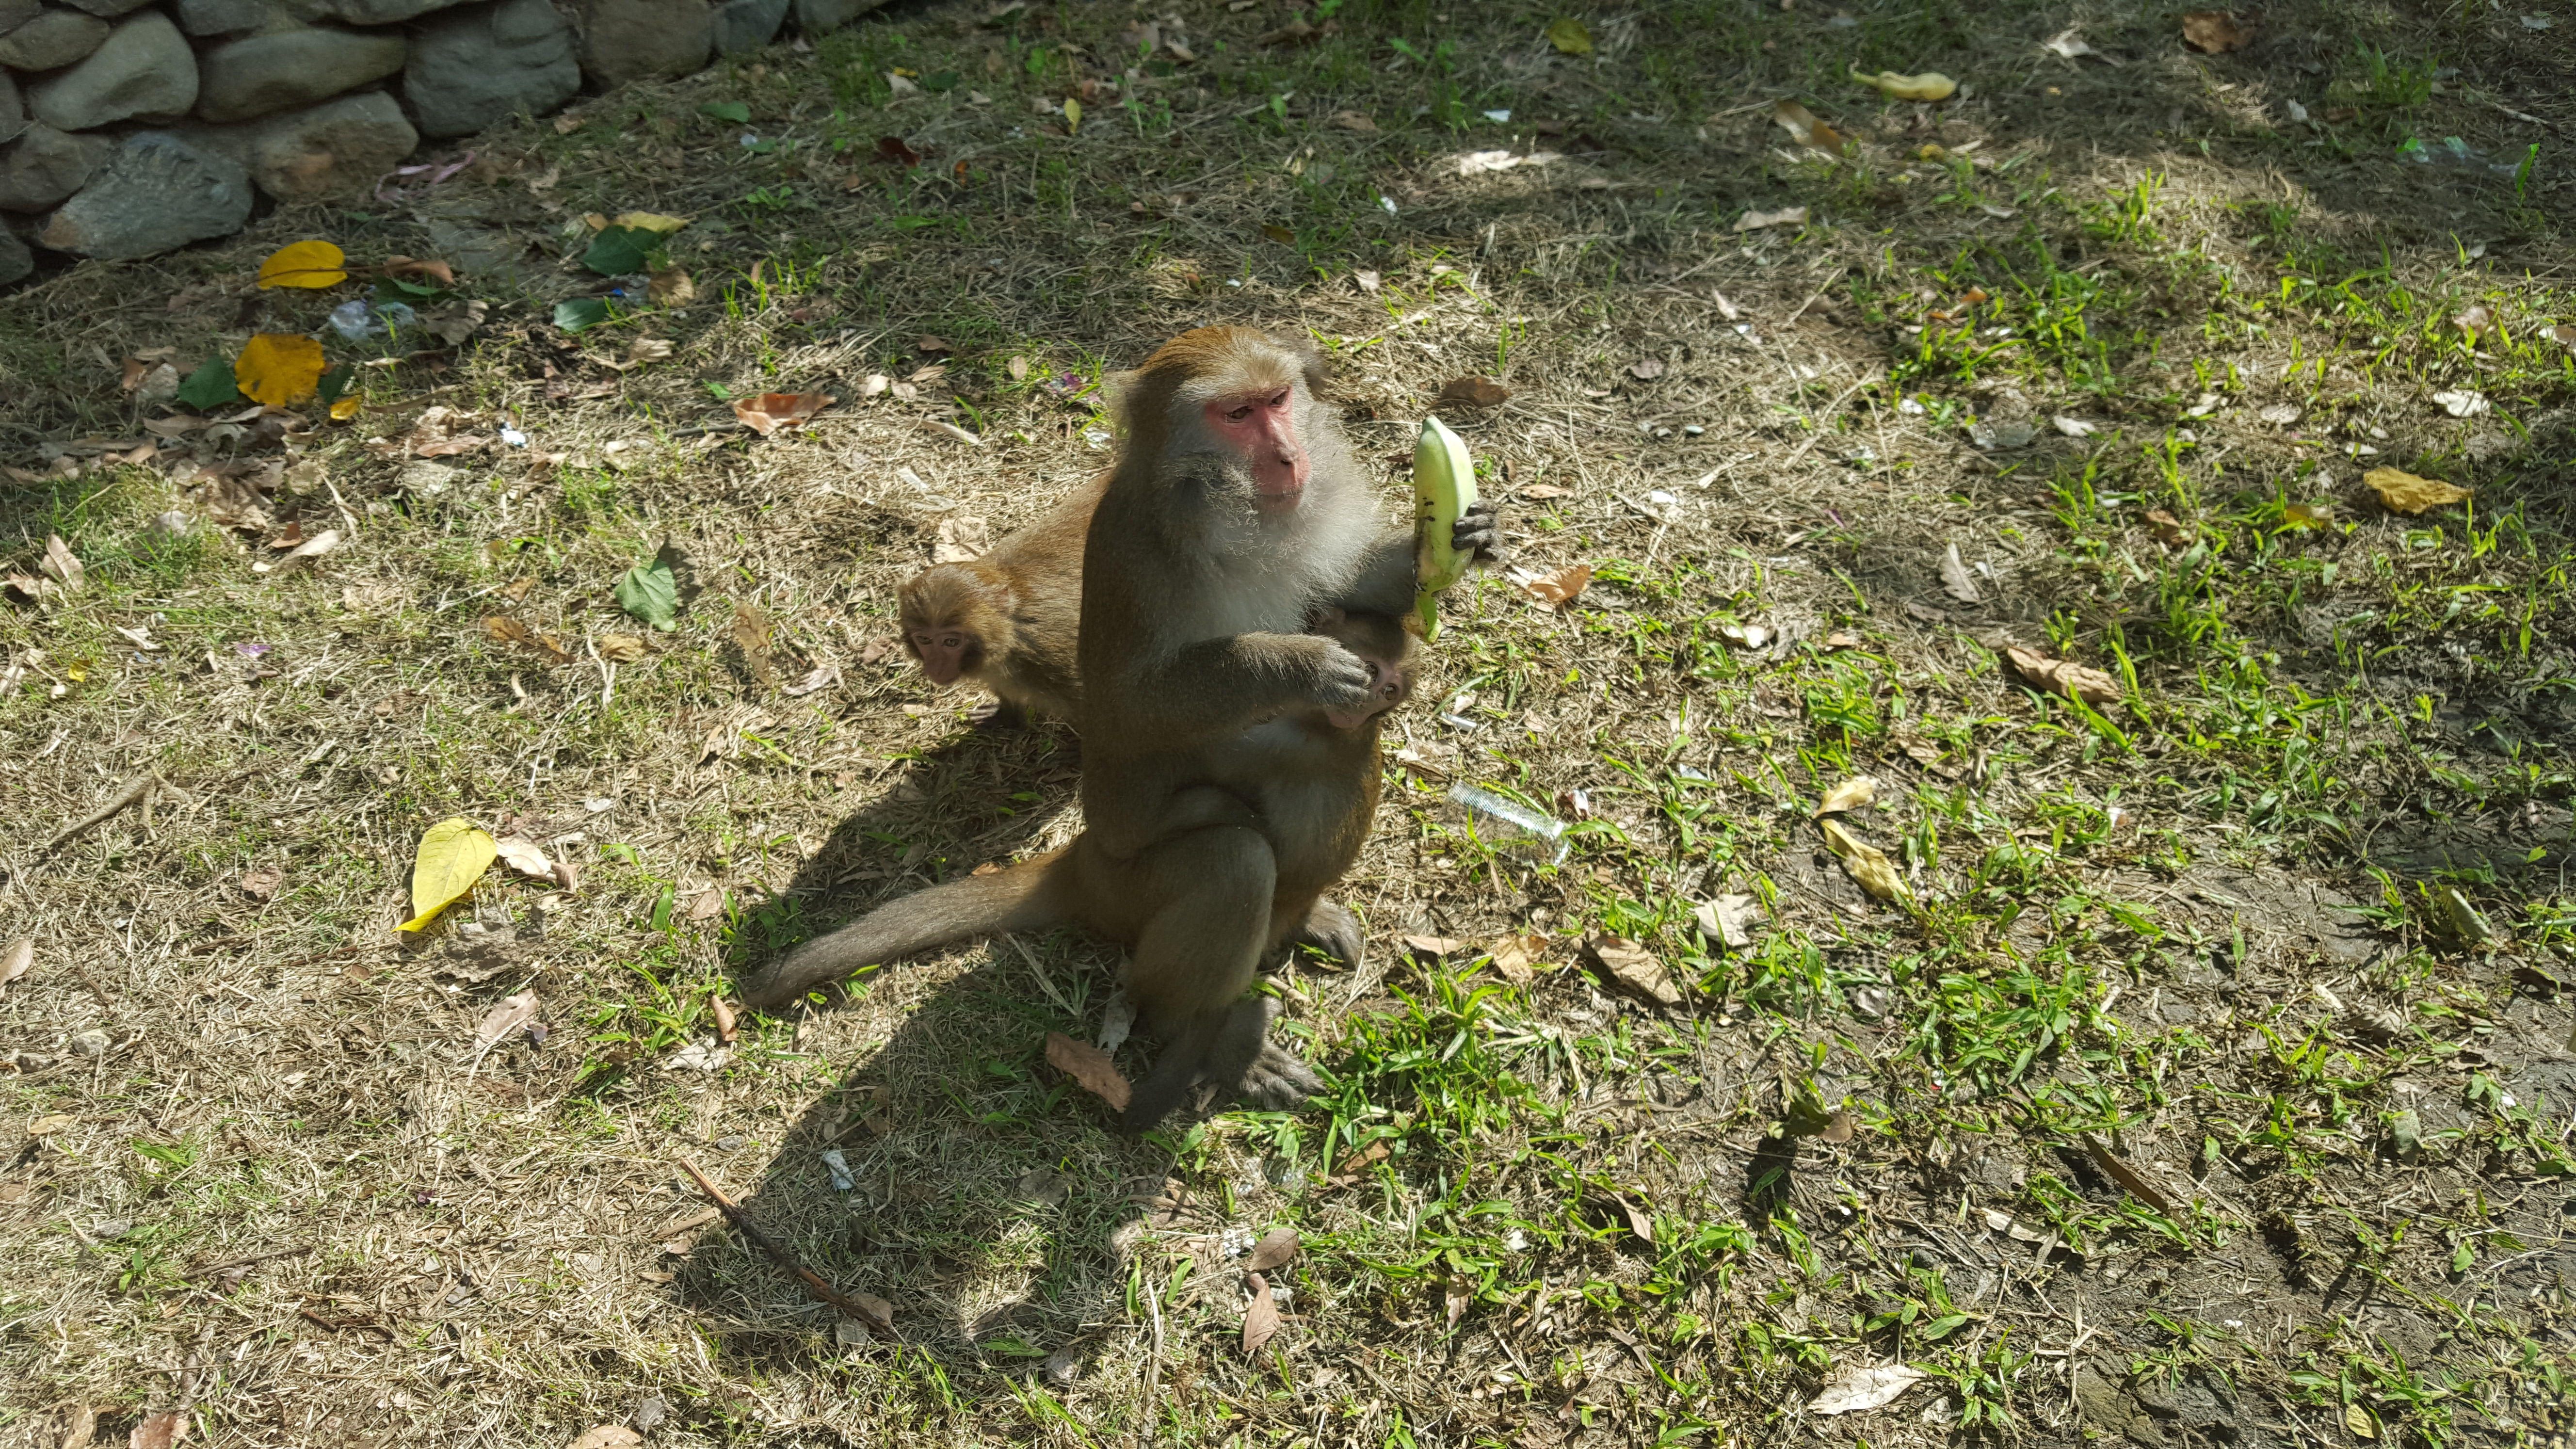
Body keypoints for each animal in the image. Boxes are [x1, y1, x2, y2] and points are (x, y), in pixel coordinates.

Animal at [747, 330, 1504, 1129]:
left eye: (1277, 401)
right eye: (1236, 415)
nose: (1288, 456)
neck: (1233, 519)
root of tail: (1082, 862)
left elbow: (1356, 589)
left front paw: (1464, 537)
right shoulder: (1133, 558)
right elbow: (1124, 709)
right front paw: (1295, 662)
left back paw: (1296, 918)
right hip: (1129, 885)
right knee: (1234, 861)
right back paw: (1207, 1035)